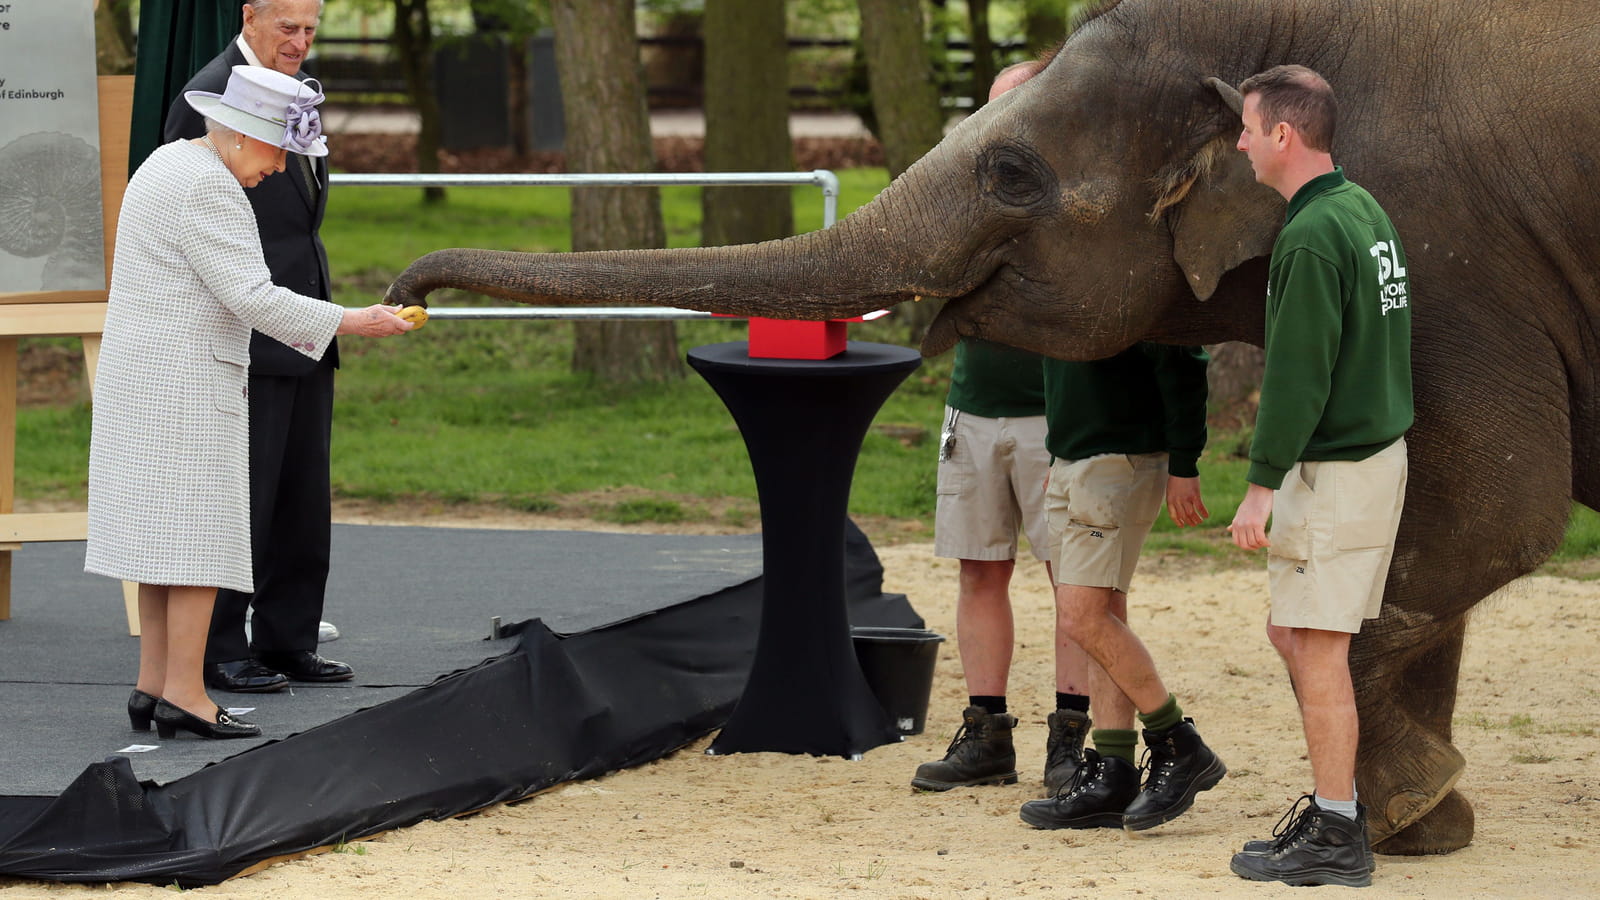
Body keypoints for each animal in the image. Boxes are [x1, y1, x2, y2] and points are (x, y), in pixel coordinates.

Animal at [387, 0, 1600, 856]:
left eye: (1010, 173)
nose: (403, 295)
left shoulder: (1448, 257)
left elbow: (1488, 518)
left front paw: (1377, 823)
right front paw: (1432, 831)